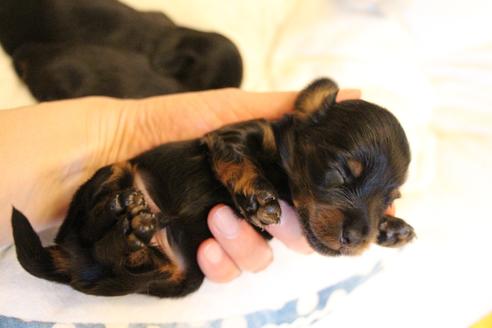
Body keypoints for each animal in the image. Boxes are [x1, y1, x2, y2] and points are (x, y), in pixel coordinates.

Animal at [10, 79, 416, 298]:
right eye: (340, 172)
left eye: (389, 199)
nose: (357, 238)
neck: (284, 176)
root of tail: (65, 260)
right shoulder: (228, 136)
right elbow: (236, 160)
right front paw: (259, 198)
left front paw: (392, 229)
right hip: (110, 176)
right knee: (95, 218)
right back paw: (122, 210)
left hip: (179, 278)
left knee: (129, 264)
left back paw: (135, 232)